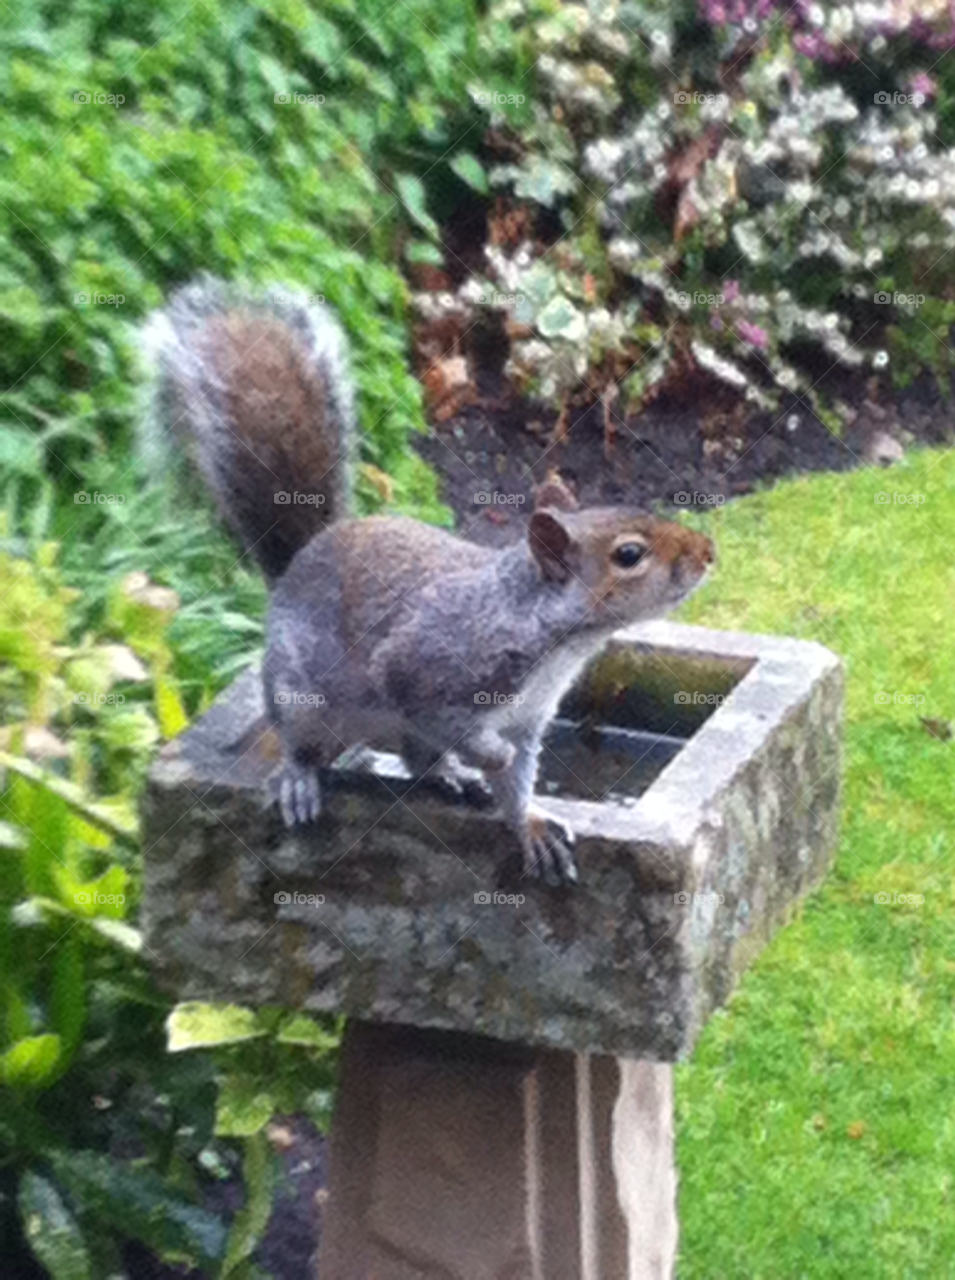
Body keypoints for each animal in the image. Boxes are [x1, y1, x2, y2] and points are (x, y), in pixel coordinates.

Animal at [144, 277, 715, 885]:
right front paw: (487, 759)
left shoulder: (527, 721)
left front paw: (529, 822)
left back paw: (451, 777)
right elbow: (451, 721)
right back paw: (303, 778)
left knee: (418, 760)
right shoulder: (428, 667)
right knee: (303, 743)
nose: (708, 553)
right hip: (301, 697)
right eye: (629, 554)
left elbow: (517, 780)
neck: (545, 633)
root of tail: (295, 568)